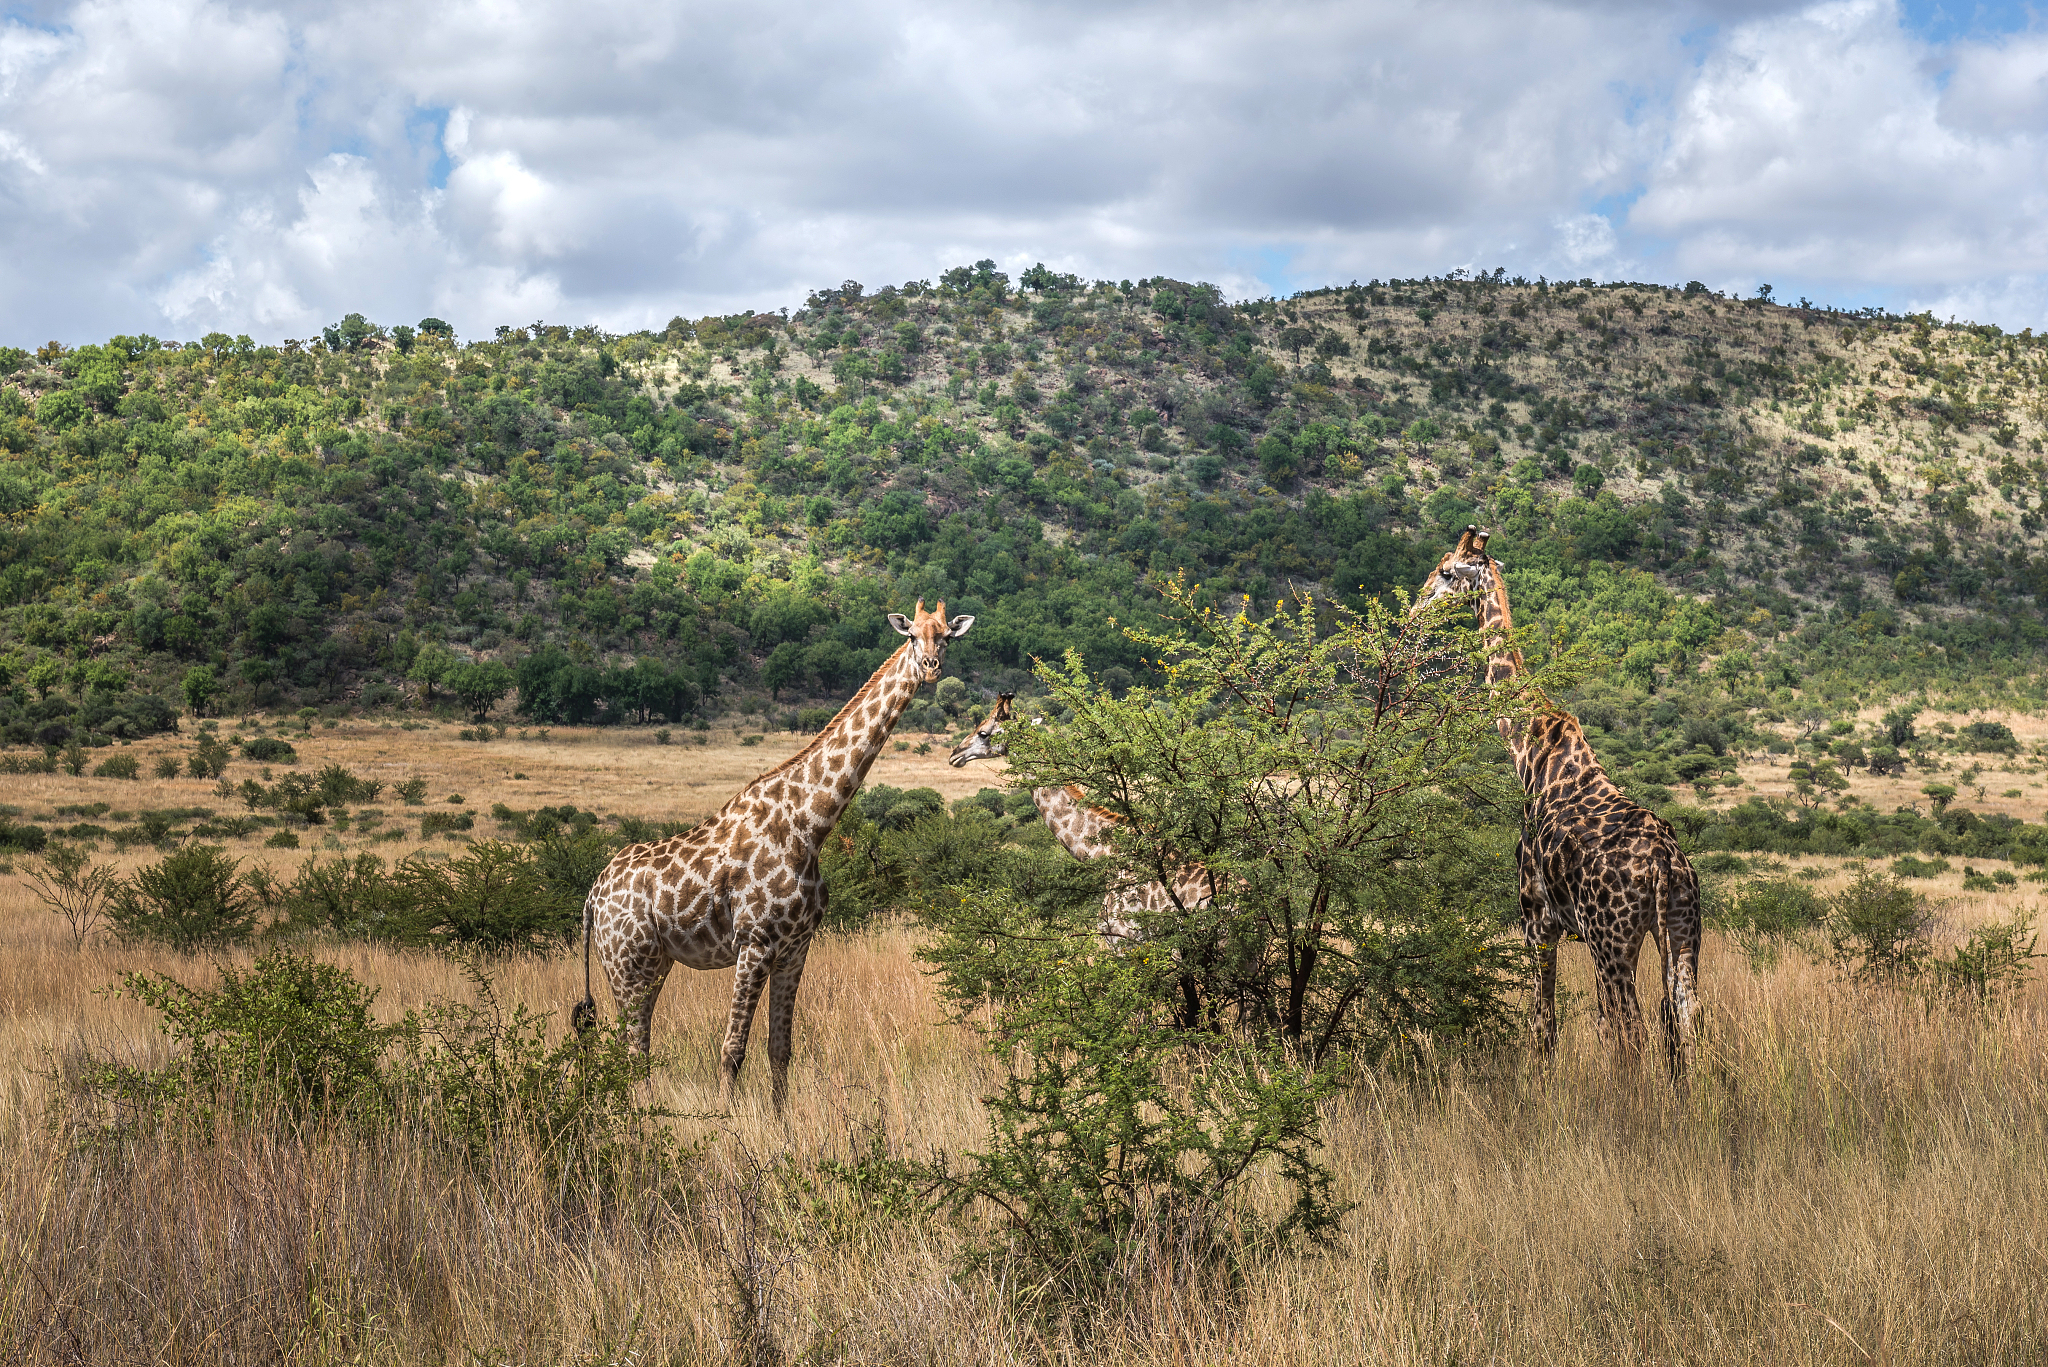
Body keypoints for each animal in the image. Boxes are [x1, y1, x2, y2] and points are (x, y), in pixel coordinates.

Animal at [578, 600, 972, 1111]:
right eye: (911, 636)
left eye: (946, 636)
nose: (930, 667)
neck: (812, 823)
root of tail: (592, 897)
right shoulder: (755, 943)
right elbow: (732, 1049)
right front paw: (726, 1121)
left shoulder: (795, 948)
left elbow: (780, 1049)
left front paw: (781, 1122)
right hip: (628, 963)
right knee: (632, 1047)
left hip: (652, 963)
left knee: (633, 1045)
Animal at [1414, 526, 1701, 1078]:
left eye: (1445, 571)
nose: (1415, 609)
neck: (1525, 748)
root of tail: (1665, 866)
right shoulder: (1573, 931)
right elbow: (1585, 1026)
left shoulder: (1536, 921)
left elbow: (1543, 1026)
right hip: (1682, 931)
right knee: (1686, 1015)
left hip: (1615, 940)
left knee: (1633, 1028)